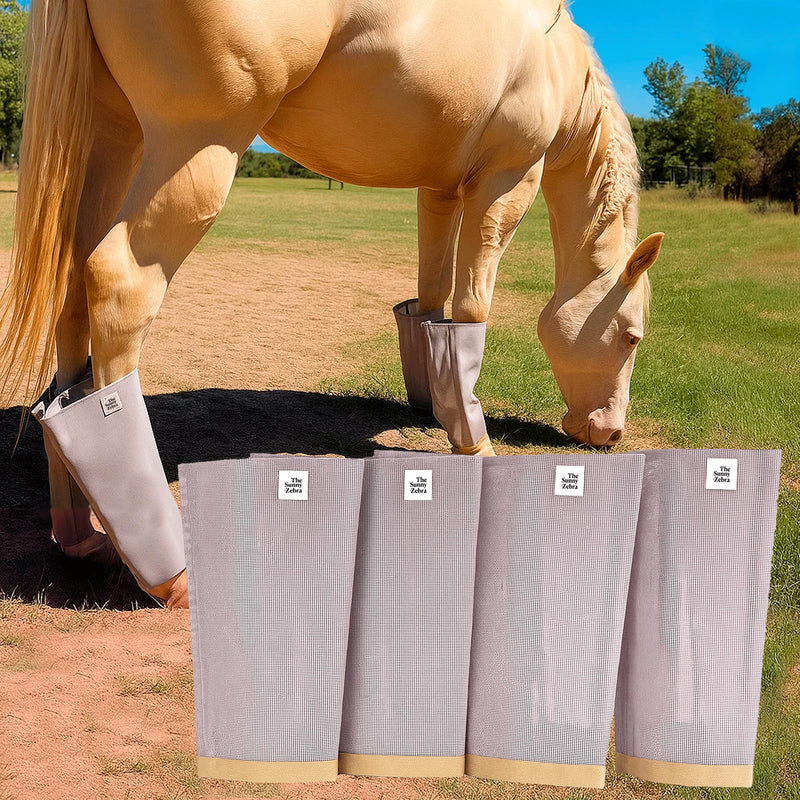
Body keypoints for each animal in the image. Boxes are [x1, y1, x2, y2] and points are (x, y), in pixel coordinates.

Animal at [0, 0, 663, 608]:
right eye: (632, 337)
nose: (609, 432)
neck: (554, 57)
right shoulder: (506, 182)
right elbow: (472, 308)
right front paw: (474, 443)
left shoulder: (440, 191)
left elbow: (433, 304)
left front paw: (440, 408)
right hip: (194, 151)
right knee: (119, 287)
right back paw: (167, 574)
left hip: (113, 137)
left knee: (73, 291)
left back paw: (80, 533)